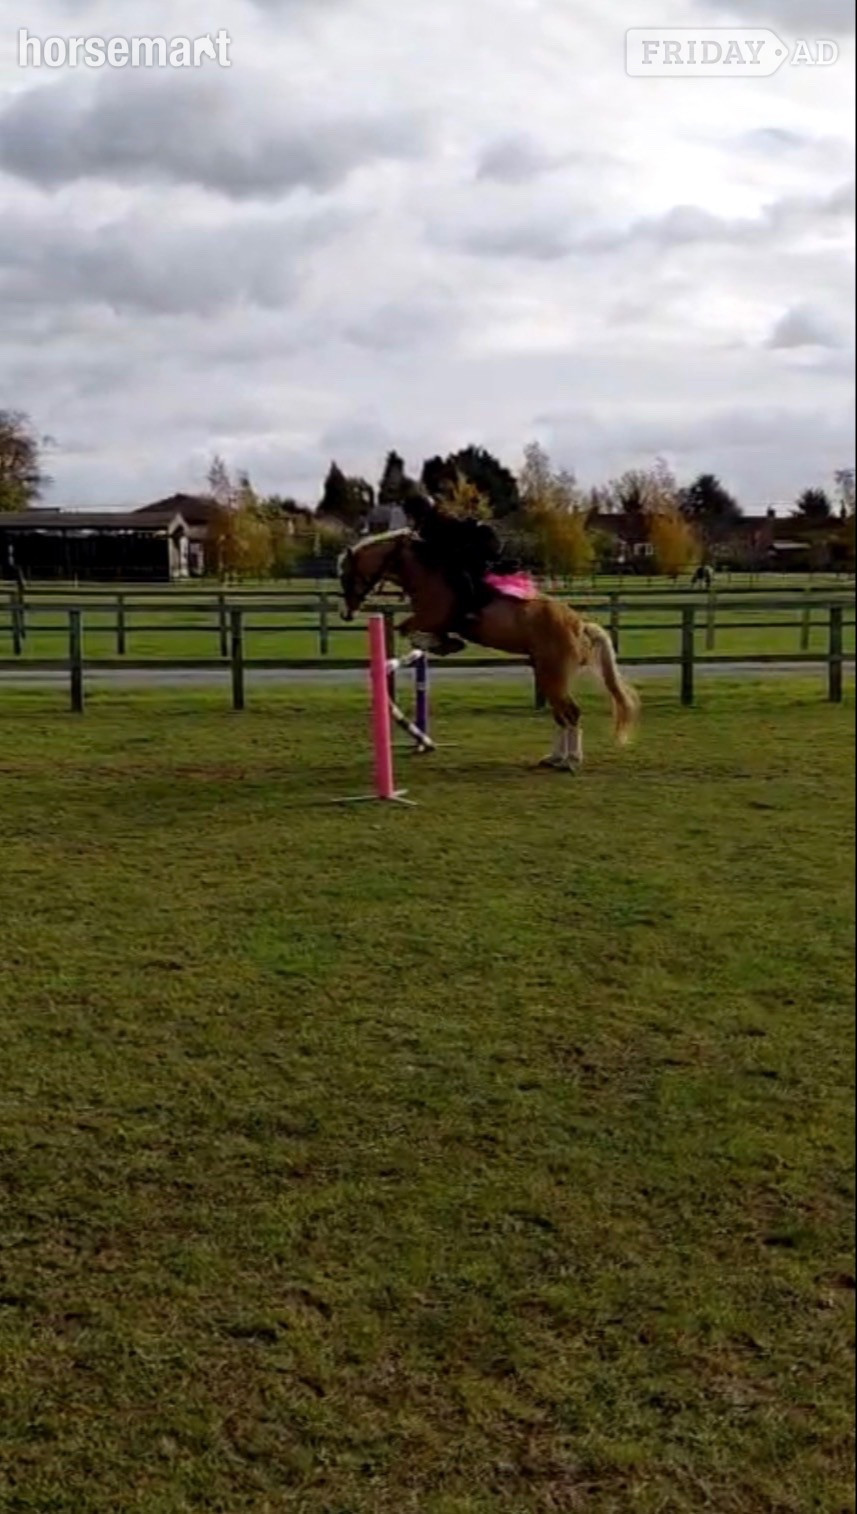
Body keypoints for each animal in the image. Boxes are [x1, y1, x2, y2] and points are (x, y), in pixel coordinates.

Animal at [338, 530, 640, 770]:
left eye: (347, 575)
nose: (345, 614)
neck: (427, 574)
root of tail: (579, 625)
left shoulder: (430, 617)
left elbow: (408, 628)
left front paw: (440, 644)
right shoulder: (431, 620)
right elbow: (412, 631)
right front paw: (443, 644)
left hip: (553, 674)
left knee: (571, 713)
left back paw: (571, 760)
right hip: (547, 674)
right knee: (561, 715)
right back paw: (555, 758)